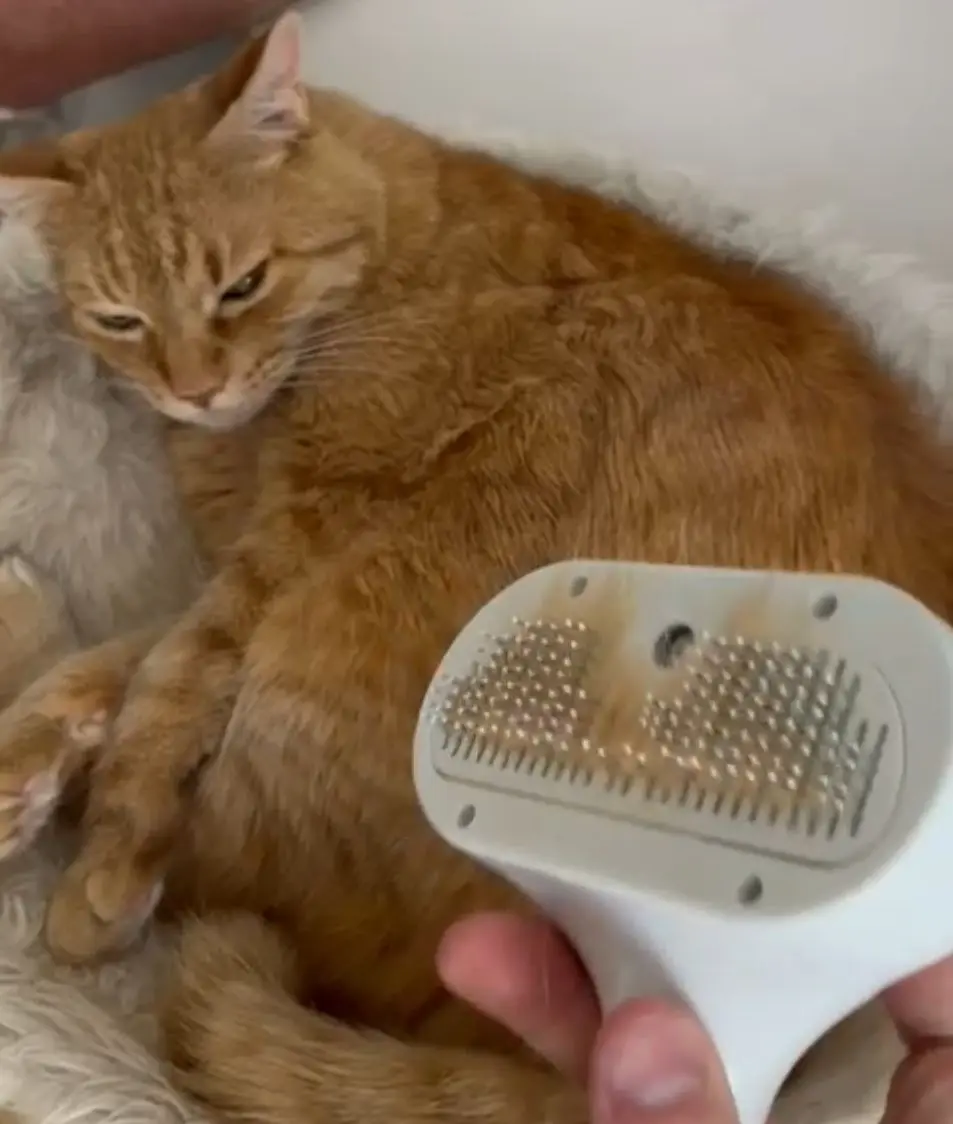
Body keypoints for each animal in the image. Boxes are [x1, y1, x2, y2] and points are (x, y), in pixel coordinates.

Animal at [0, 13, 949, 1123]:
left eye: (241, 284)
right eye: (121, 320)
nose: (195, 389)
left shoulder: (296, 538)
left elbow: (164, 682)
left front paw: (98, 859)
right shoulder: (246, 554)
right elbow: (131, 658)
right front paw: (53, 735)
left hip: (306, 670)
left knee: (218, 874)